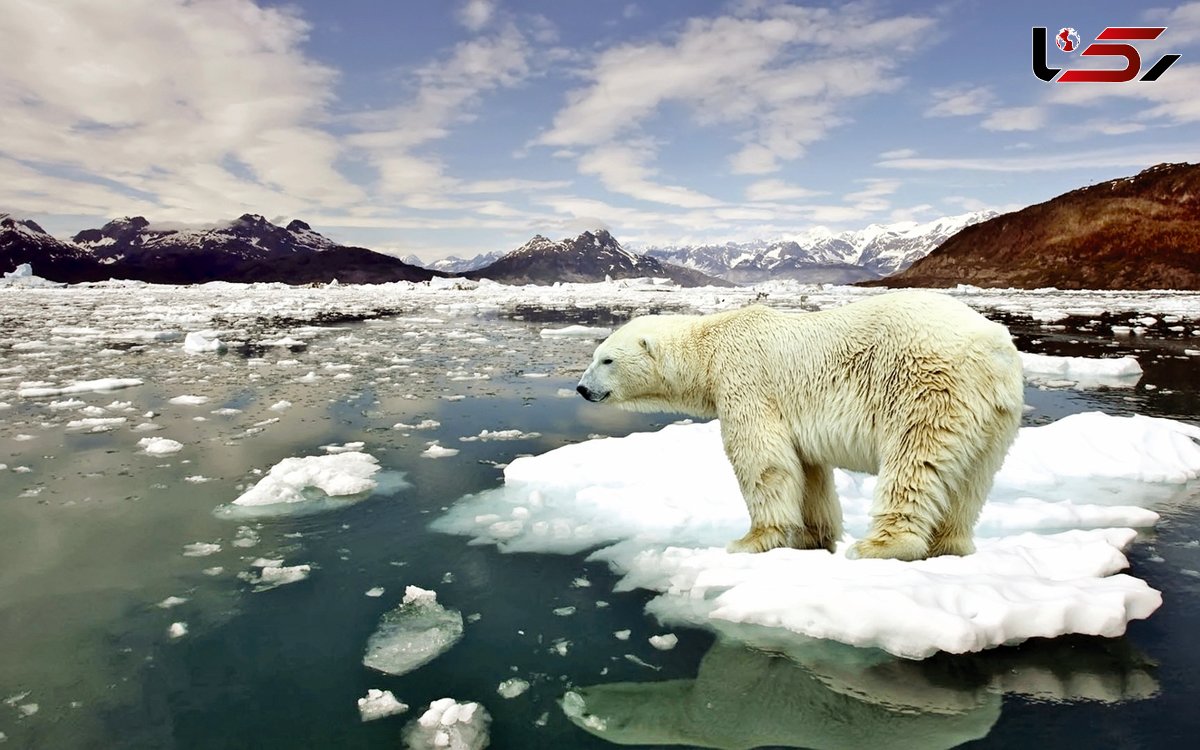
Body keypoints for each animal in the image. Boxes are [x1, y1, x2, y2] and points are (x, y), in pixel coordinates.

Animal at [578, 289, 1022, 559]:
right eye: (596, 355)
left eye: (606, 359)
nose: (582, 389)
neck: (711, 346)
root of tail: (994, 348)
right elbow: (808, 470)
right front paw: (814, 537)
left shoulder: (745, 380)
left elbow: (762, 460)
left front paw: (750, 540)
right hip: (994, 416)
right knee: (972, 480)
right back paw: (950, 546)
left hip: (927, 387)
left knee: (914, 461)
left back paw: (880, 546)